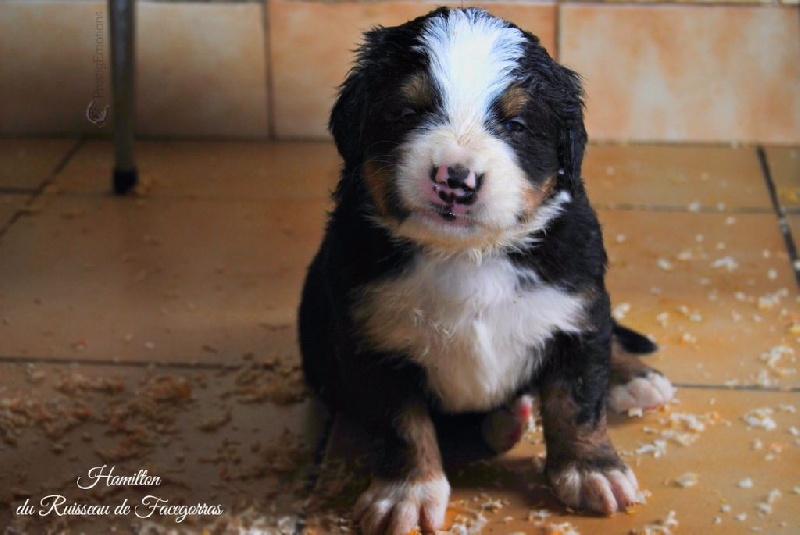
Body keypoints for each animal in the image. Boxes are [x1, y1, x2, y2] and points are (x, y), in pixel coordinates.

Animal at [300, 7, 676, 532]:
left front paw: (591, 470)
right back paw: (503, 424)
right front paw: (406, 493)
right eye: (407, 113)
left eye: (515, 123)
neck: (467, 255)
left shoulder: (575, 308)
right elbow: (402, 425)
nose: (455, 179)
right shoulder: (371, 340)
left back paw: (635, 379)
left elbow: (577, 401)